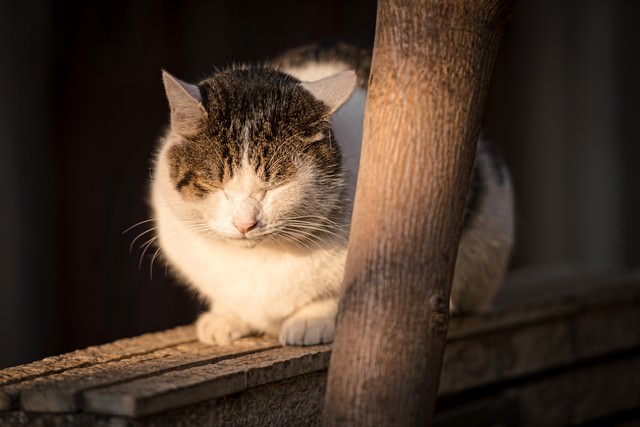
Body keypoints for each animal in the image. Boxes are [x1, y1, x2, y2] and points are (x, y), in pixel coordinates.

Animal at [150, 41, 516, 348]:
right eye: (216, 186)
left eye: (276, 185)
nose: (245, 224)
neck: (260, 258)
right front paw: (226, 316)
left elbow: (334, 294)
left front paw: (312, 320)